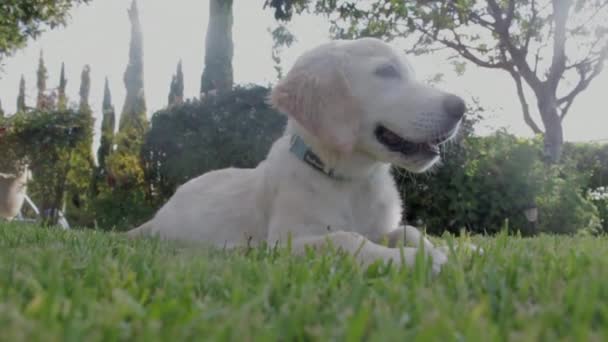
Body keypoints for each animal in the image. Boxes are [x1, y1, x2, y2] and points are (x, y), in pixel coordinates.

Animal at [129, 36, 466, 272]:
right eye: (386, 72)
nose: (460, 107)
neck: (352, 180)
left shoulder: (381, 228)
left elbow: (410, 230)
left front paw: (450, 251)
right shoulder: (286, 241)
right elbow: (345, 238)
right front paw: (415, 260)